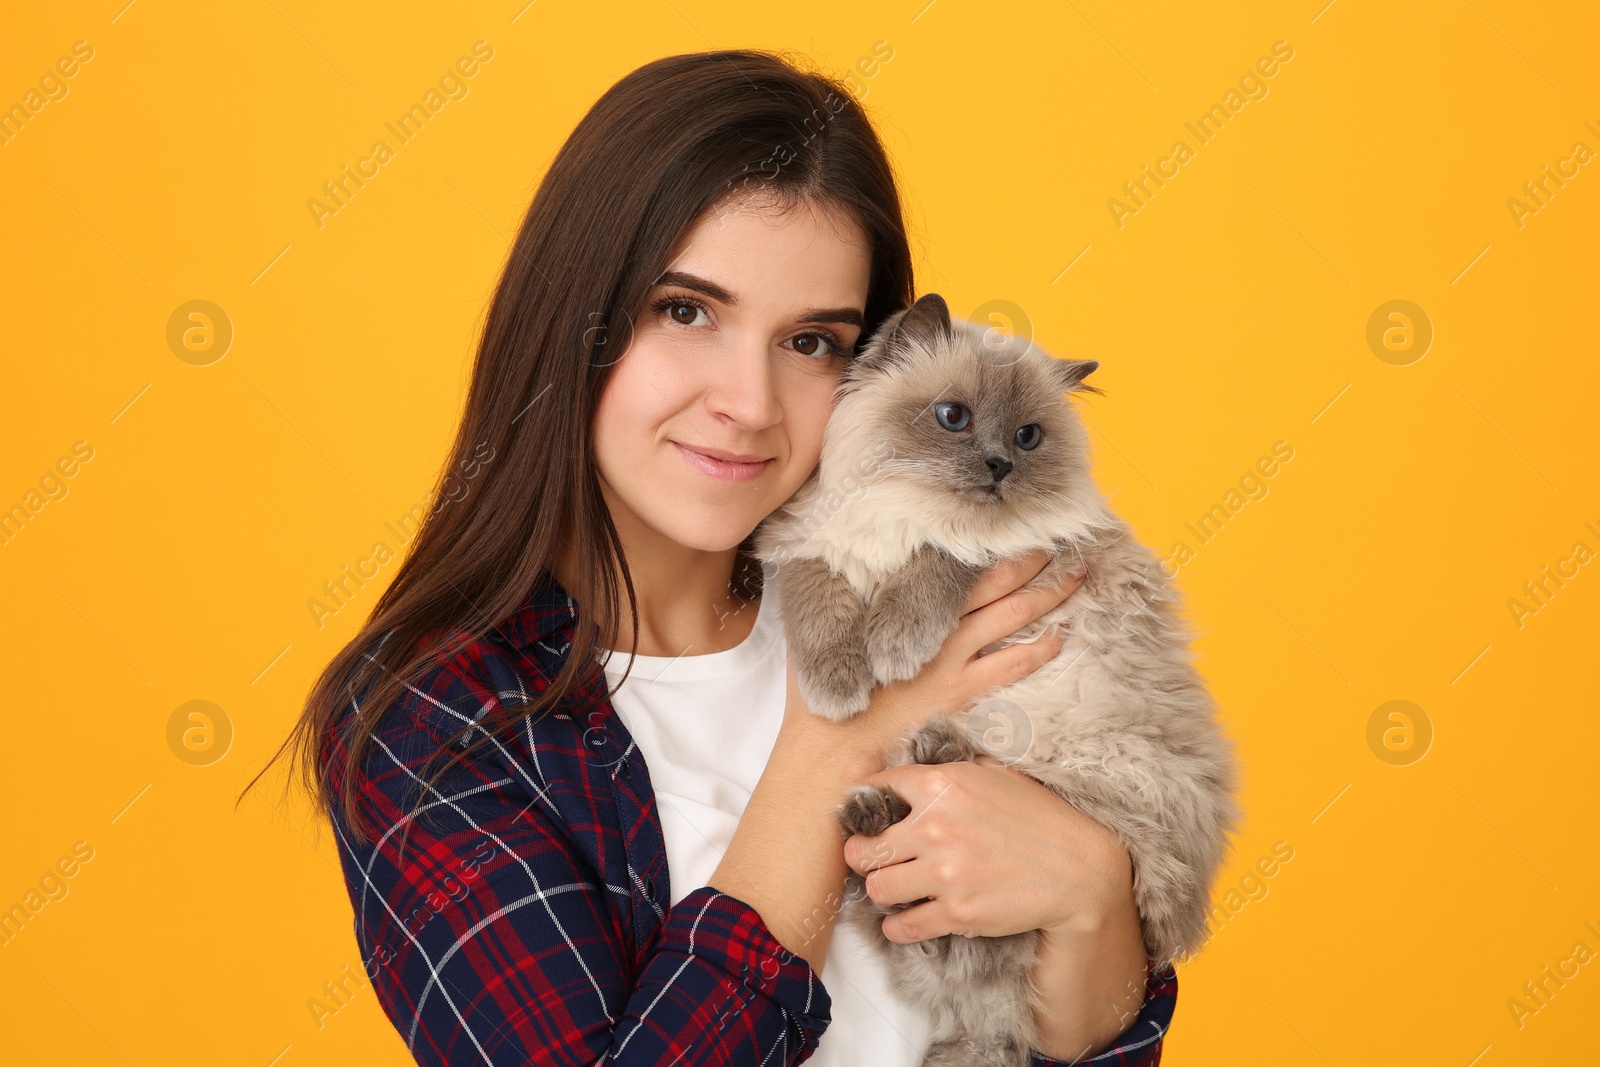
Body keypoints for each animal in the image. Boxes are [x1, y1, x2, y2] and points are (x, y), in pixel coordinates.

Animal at [748, 294, 1235, 1067]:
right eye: (954, 417)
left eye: (1029, 437)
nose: (1001, 465)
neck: (902, 505)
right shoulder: (805, 543)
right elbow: (818, 597)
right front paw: (842, 685)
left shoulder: (1018, 550)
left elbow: (943, 559)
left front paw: (894, 647)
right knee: (928, 935)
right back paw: (879, 808)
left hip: (1086, 783)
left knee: (983, 939)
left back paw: (931, 755)